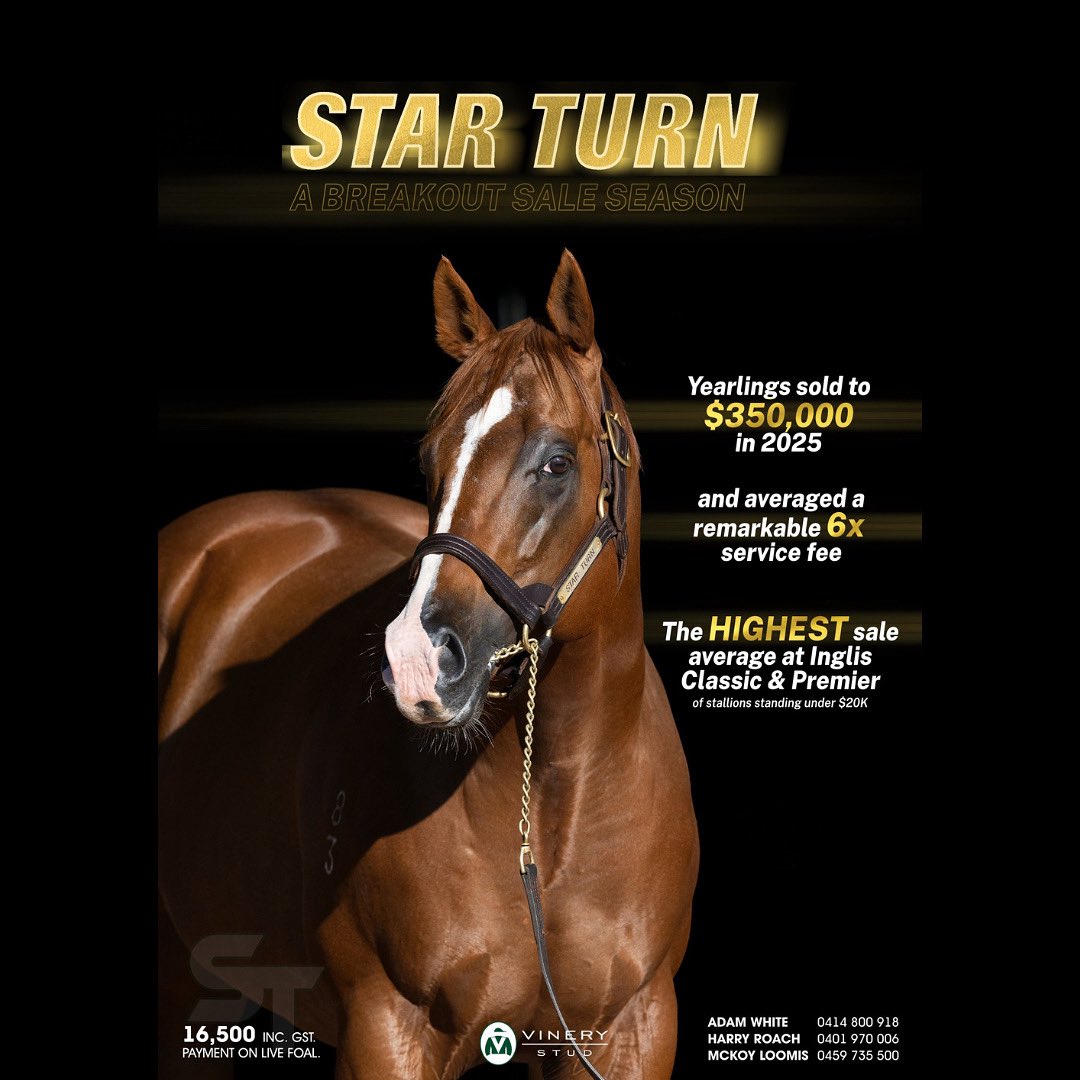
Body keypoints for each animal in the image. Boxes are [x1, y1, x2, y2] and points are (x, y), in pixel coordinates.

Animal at [158, 251, 699, 1079]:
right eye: (430, 460)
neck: (549, 821)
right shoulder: (388, 1030)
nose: (417, 661)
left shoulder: (631, 1032)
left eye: (556, 463)